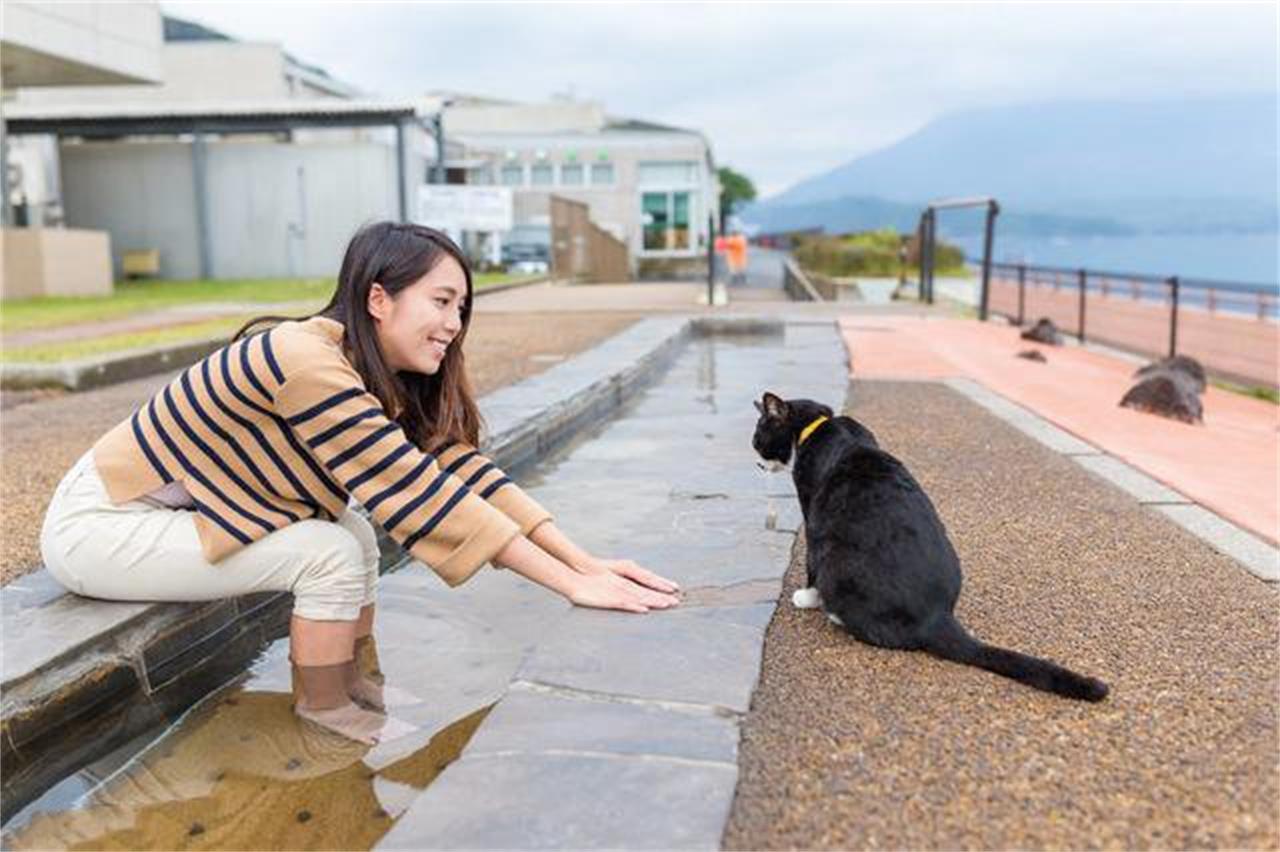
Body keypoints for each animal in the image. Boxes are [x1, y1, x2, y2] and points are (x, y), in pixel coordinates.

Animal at [747, 391, 1111, 701]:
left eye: (757, 437)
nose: (755, 461)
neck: (818, 426)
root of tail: (936, 616)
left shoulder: (811, 508)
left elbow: (809, 560)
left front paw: (806, 597)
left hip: (837, 560)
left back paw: (833, 612)